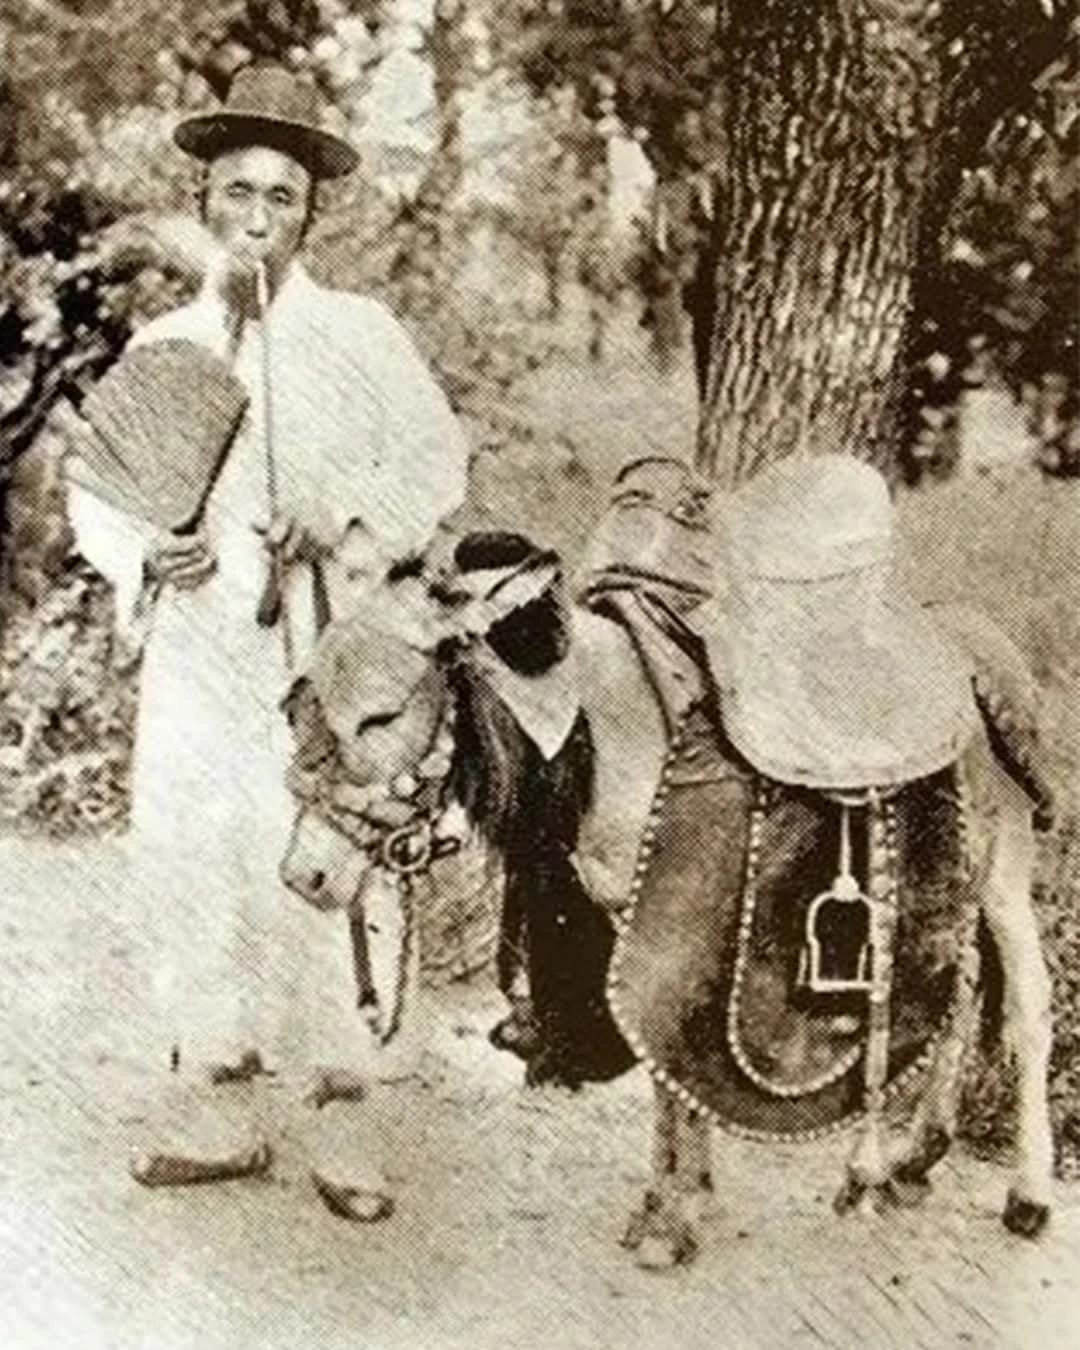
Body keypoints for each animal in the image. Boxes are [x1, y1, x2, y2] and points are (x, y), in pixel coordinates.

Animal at [279, 472, 1056, 1268]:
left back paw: (1025, 1195)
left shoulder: (673, 921)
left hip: (1003, 871)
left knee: (1028, 1001)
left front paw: (672, 1218)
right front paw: (678, 1197)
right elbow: (663, 1059)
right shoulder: (628, 913)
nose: (305, 875)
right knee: (959, 985)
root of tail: (973, 647)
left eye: (379, 717)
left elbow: (669, 1053)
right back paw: (904, 1162)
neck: (597, 735)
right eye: (298, 708)